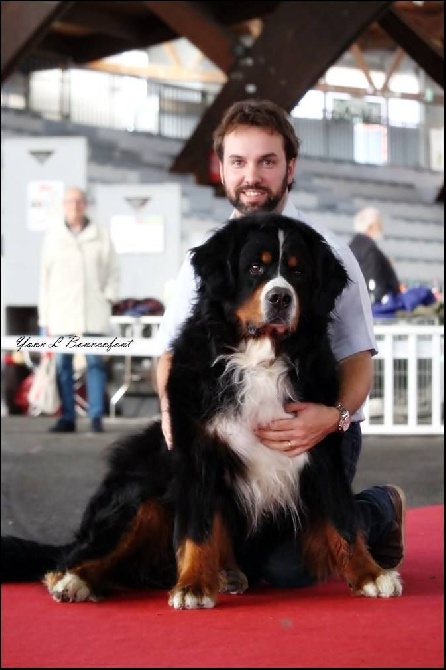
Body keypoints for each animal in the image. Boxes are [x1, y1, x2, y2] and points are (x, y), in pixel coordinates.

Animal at [1, 214, 402, 608]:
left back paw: (226, 574)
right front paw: (192, 585)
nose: (280, 297)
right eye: (255, 267)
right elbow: (199, 528)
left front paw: (371, 574)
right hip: (138, 493)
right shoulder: (198, 451)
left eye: (298, 270)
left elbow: (343, 521)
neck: (259, 359)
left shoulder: (319, 446)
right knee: (72, 557)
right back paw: (74, 580)